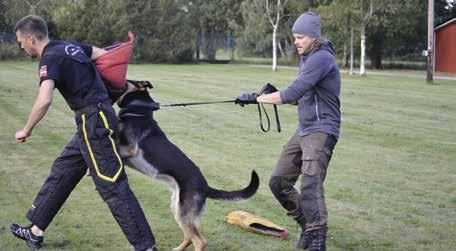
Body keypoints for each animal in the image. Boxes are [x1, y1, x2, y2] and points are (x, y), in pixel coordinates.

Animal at [116, 81, 260, 250]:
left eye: (126, 81)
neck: (139, 112)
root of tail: (205, 186)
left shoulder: (129, 148)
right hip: (178, 210)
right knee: (190, 237)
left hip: (183, 213)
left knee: (199, 241)